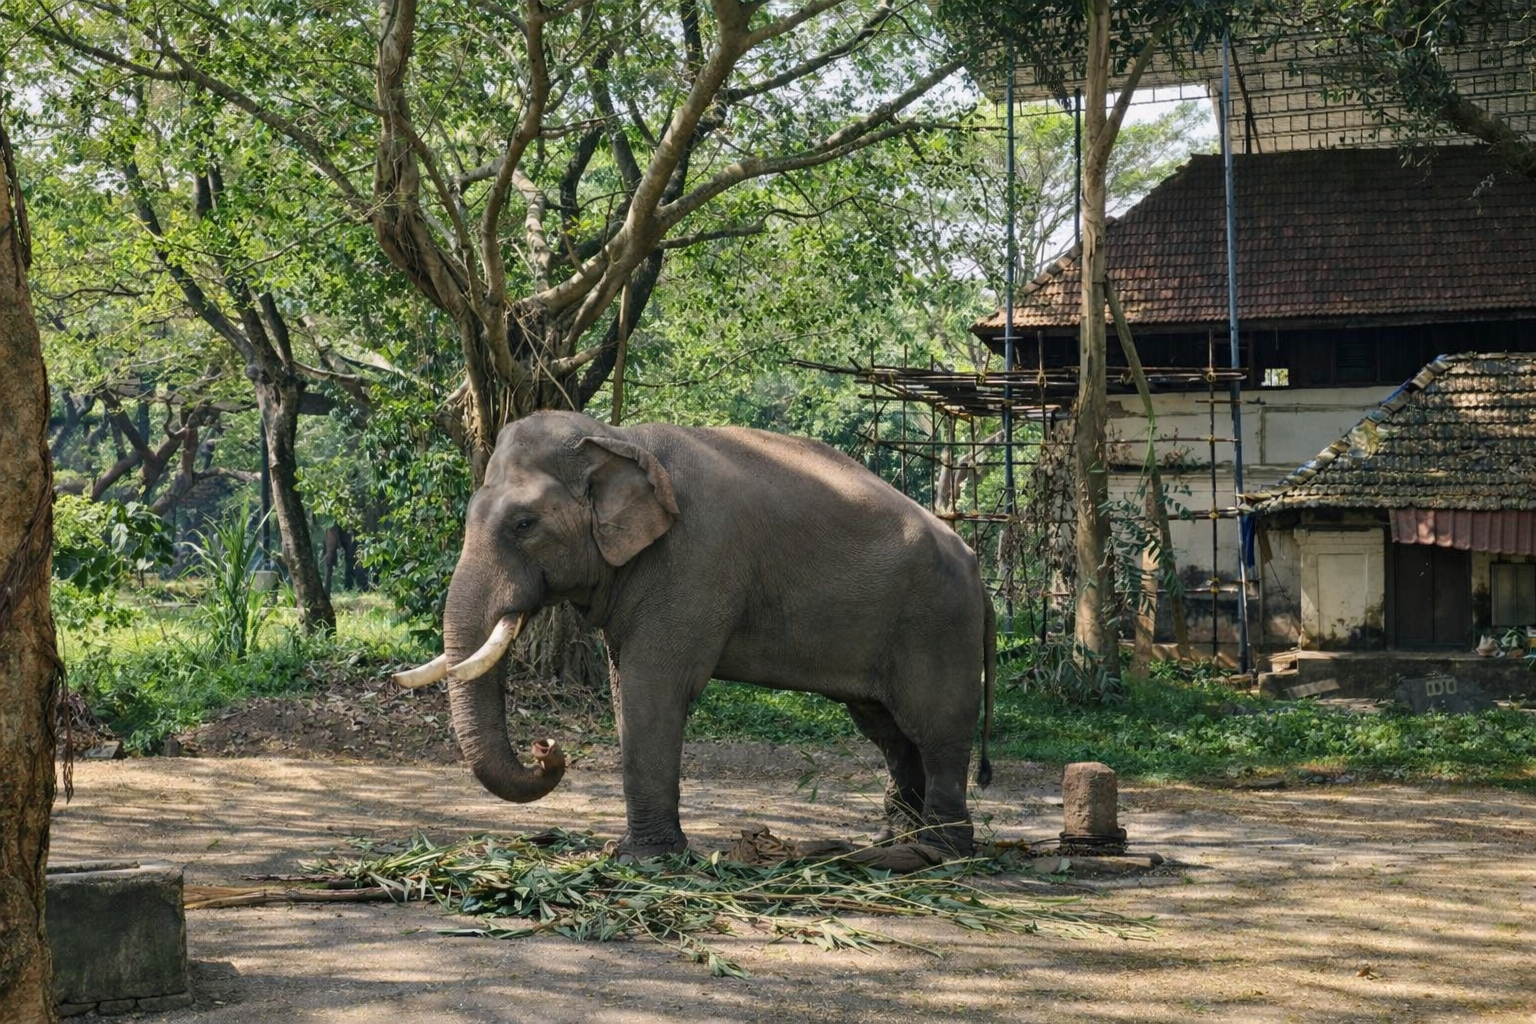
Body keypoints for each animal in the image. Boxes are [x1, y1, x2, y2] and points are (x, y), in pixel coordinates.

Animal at [394, 410, 995, 858]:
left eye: (525, 525)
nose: (547, 747)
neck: (620, 438)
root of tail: (975, 568)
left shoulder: (694, 561)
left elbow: (653, 687)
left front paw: (645, 860)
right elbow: (626, 687)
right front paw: (639, 854)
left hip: (939, 626)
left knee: (935, 729)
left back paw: (939, 853)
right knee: (888, 729)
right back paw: (894, 843)